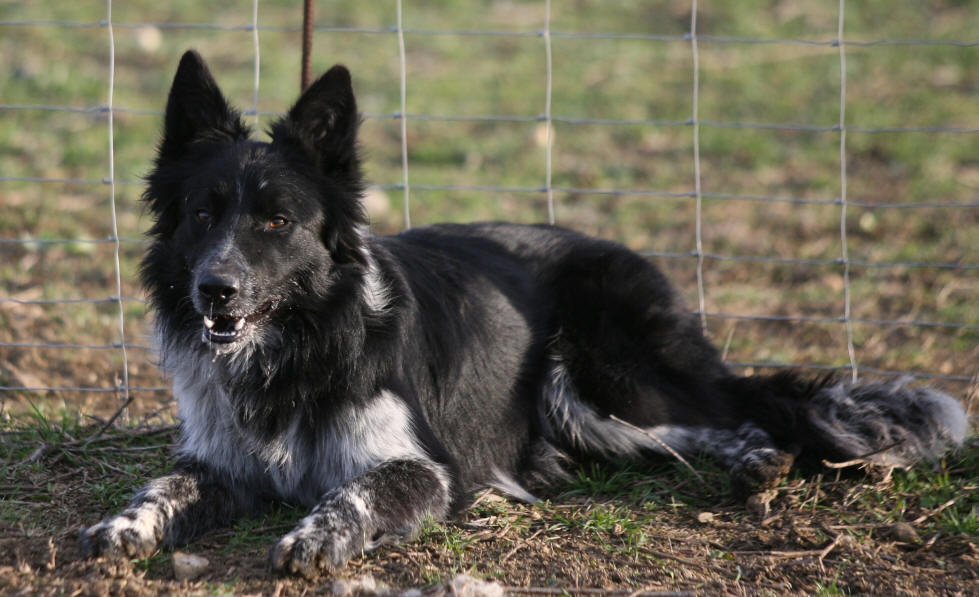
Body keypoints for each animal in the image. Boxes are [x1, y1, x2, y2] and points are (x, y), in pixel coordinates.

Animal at [80, 52, 968, 576]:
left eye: (275, 221)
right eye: (204, 214)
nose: (215, 290)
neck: (298, 344)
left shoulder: (421, 466)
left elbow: (349, 496)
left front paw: (314, 537)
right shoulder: (219, 460)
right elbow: (159, 483)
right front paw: (122, 525)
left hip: (589, 378)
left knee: (721, 417)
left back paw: (755, 462)